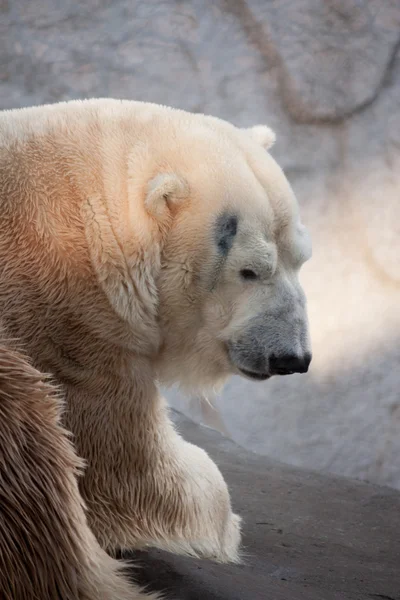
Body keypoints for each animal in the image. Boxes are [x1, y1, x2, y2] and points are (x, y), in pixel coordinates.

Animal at [0, 99, 312, 600]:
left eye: (301, 260)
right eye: (249, 270)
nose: (292, 358)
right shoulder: (71, 327)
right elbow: (133, 473)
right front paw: (223, 522)